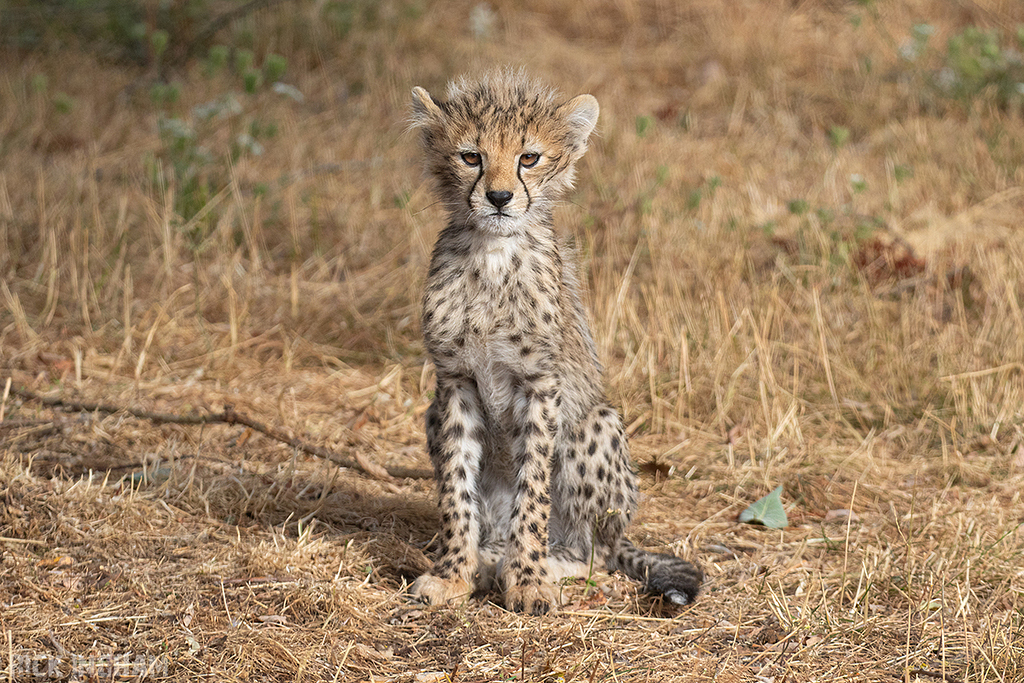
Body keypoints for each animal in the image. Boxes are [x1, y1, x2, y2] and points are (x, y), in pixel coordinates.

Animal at [408, 68, 702, 615]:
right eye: (471, 157)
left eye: (529, 157)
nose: (499, 198)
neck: (493, 252)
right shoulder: (455, 382)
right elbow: (457, 490)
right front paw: (453, 574)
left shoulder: (540, 383)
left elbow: (534, 492)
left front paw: (527, 581)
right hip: (432, 413)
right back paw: (487, 558)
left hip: (596, 425)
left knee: (596, 552)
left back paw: (548, 563)